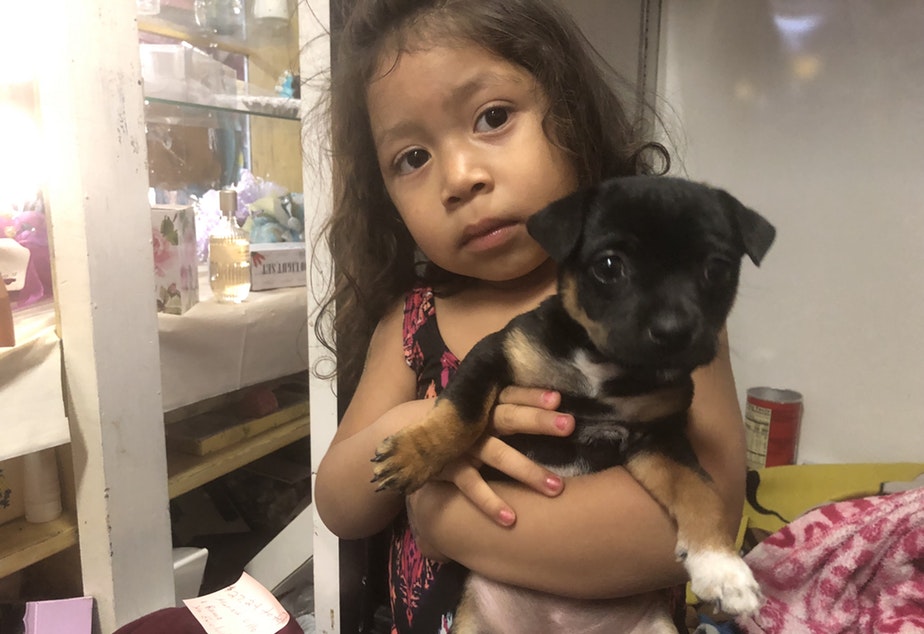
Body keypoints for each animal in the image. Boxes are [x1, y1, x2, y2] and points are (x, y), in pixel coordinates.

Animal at [370, 174, 772, 632]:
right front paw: (413, 454)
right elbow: (462, 411)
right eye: (609, 266)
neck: (603, 365)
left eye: (717, 269)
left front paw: (723, 569)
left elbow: (698, 487)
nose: (674, 331)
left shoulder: (657, 436)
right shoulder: (496, 353)